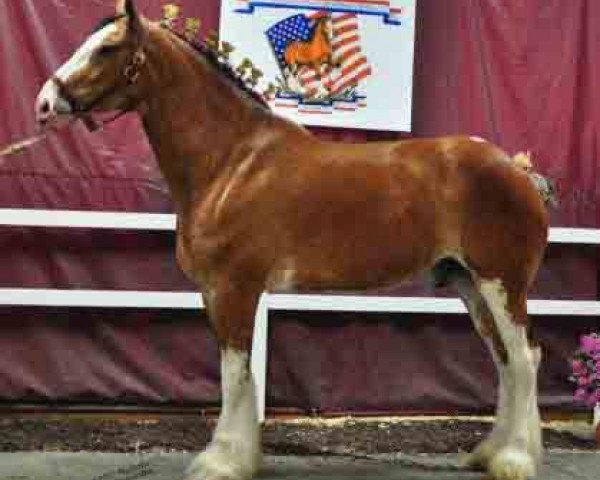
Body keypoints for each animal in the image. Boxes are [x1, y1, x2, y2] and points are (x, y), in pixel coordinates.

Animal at [36, 1, 552, 478]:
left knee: (525, 359)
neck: (233, 162)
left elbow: (234, 373)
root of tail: (517, 169)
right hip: (470, 284)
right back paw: (489, 454)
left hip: (501, 284)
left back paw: (514, 459)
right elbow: (240, 373)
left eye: (106, 49)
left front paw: (221, 460)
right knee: (505, 360)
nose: (44, 103)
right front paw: (242, 456)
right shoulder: (215, 292)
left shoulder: (234, 288)